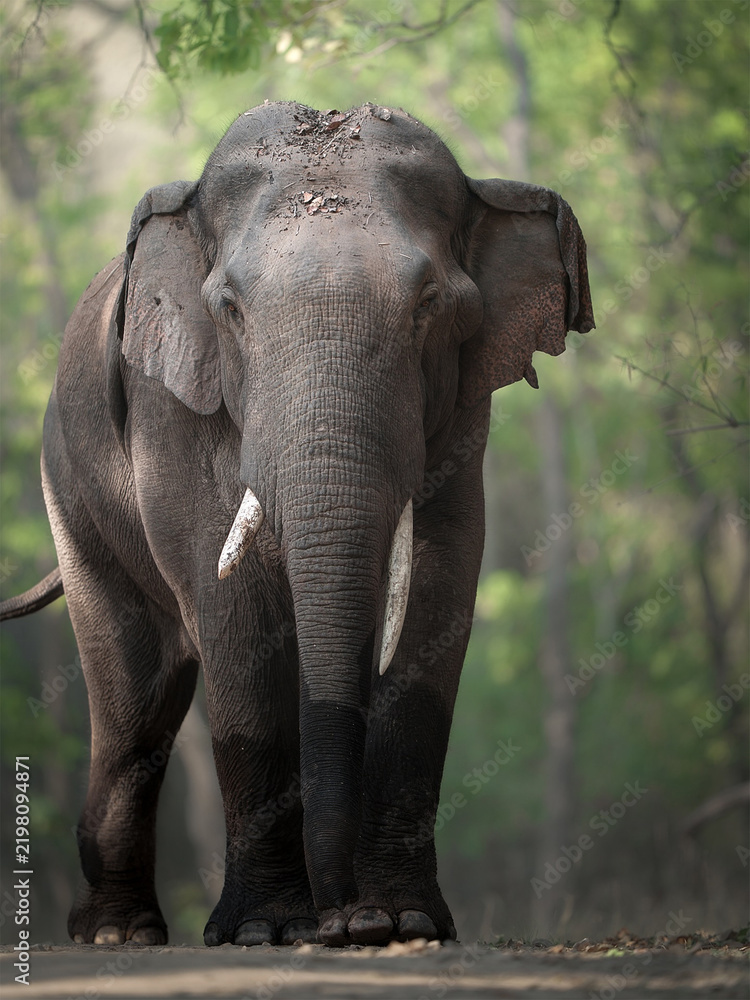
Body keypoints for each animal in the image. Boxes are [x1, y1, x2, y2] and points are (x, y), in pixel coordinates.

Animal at [0, 101, 594, 948]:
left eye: (429, 305)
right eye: (229, 310)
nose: (344, 919)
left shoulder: (463, 412)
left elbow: (440, 589)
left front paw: (402, 920)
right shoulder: (168, 406)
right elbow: (235, 610)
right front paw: (266, 932)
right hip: (70, 489)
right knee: (133, 692)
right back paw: (119, 933)